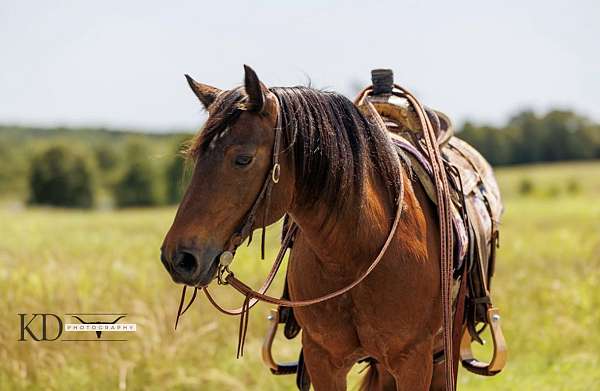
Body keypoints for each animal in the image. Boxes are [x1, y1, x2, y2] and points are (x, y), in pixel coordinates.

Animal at [163, 66, 464, 390]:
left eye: (243, 159)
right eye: (197, 158)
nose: (178, 258)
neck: (354, 256)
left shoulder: (414, 361)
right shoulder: (322, 360)